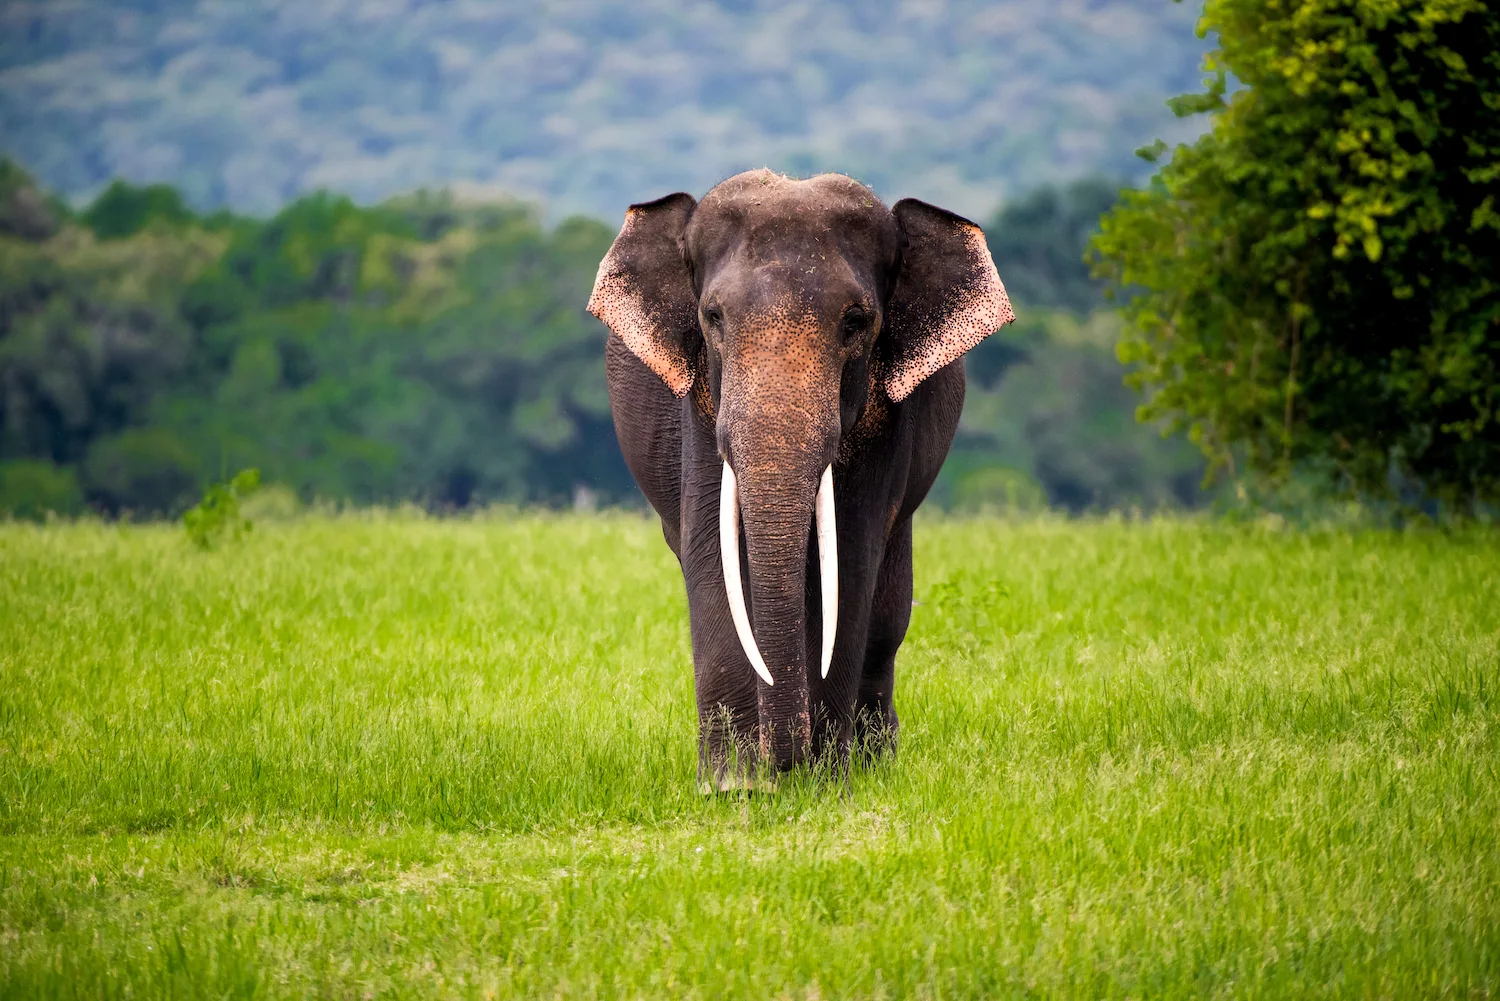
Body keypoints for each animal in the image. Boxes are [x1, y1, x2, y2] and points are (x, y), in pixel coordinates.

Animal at [588, 169, 1013, 788]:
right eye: (712, 317)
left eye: (857, 321)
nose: (782, 763)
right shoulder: (701, 402)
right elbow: (710, 550)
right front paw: (734, 786)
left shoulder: (886, 415)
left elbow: (850, 557)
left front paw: (825, 782)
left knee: (887, 618)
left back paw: (873, 764)